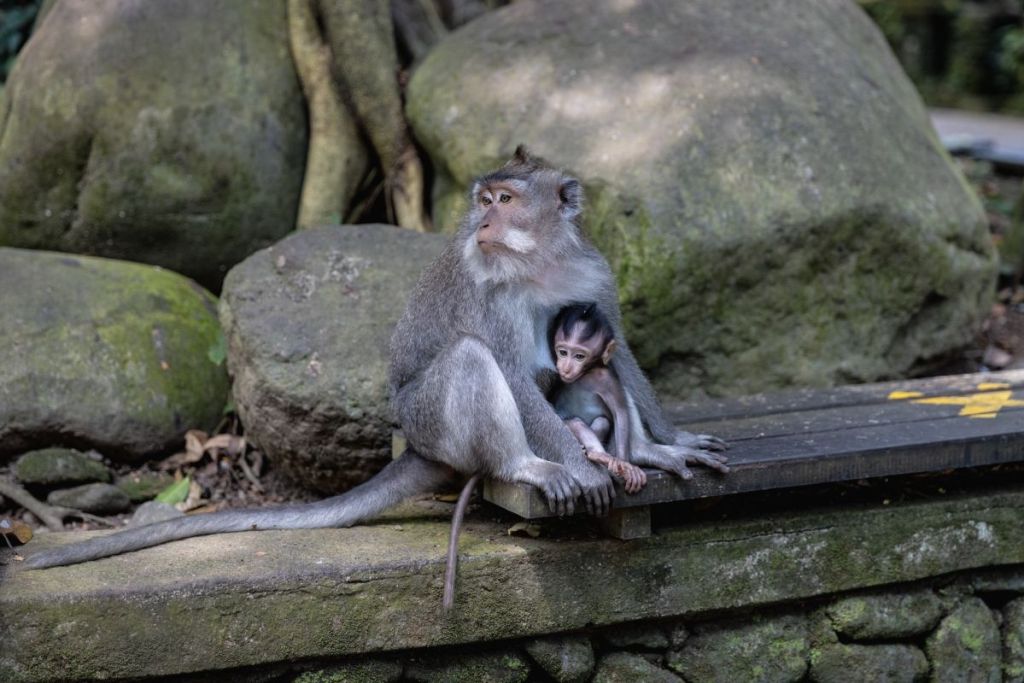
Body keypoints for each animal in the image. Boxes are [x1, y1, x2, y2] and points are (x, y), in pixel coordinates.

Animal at [549, 303, 647, 494]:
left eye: (579, 356)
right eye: (563, 352)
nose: (566, 368)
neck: (586, 374)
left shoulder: (607, 379)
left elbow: (620, 412)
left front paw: (623, 461)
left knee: (602, 421)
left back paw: (598, 455)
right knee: (575, 422)